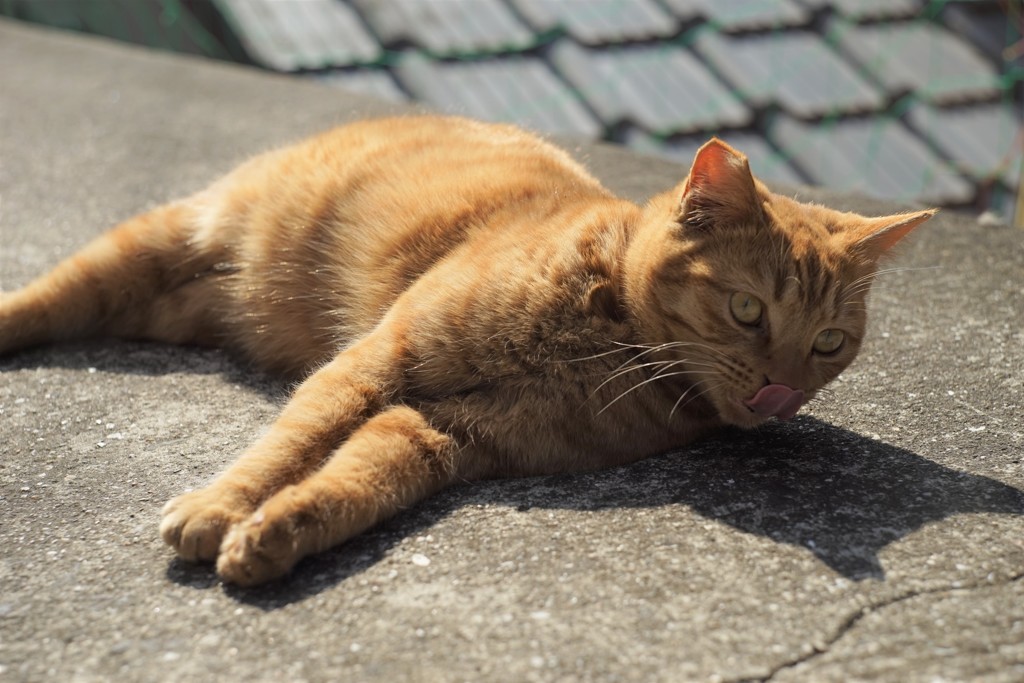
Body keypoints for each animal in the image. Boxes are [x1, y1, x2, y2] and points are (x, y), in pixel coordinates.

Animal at [0, 116, 933, 581]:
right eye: (746, 310)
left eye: (830, 344)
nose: (780, 394)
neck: (603, 339)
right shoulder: (377, 363)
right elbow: (291, 443)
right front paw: (221, 505)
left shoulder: (447, 431)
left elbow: (356, 482)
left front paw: (279, 533)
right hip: (155, 242)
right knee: (47, 298)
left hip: (176, 301)